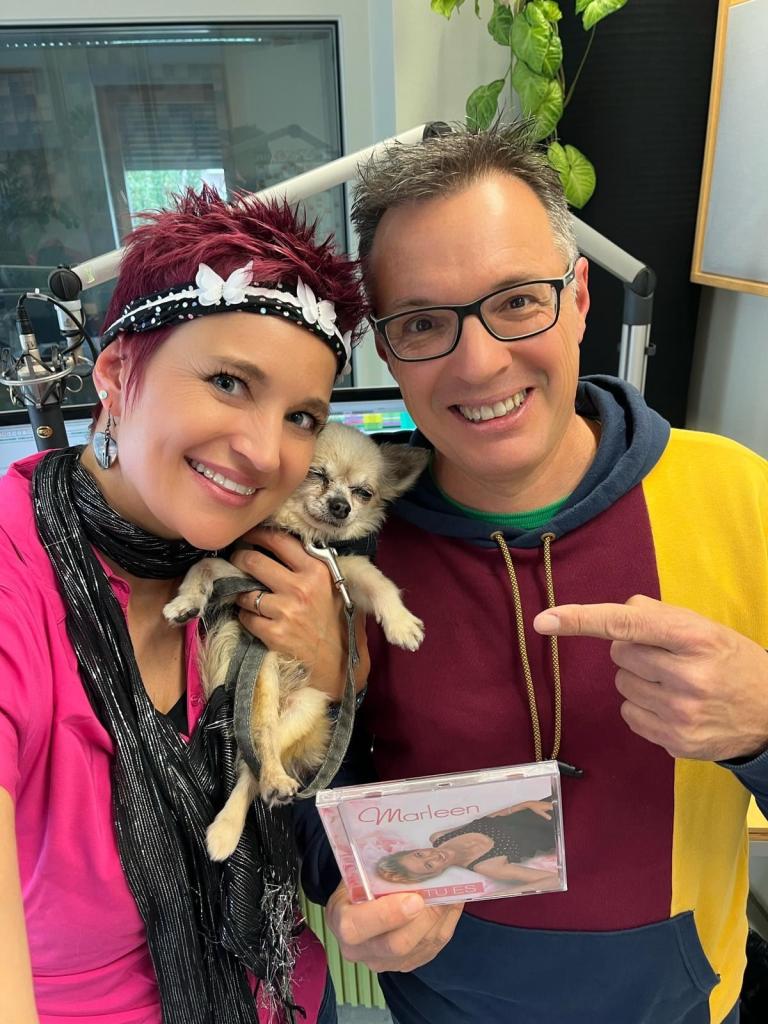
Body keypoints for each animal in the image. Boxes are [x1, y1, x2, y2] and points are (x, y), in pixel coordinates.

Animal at [162, 422, 429, 861]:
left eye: (363, 492)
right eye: (316, 474)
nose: (340, 506)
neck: (308, 538)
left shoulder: (346, 568)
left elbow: (381, 584)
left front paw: (401, 623)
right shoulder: (243, 574)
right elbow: (202, 566)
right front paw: (183, 603)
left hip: (305, 707)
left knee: (253, 769)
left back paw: (247, 810)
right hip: (264, 678)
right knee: (260, 745)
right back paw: (234, 821)